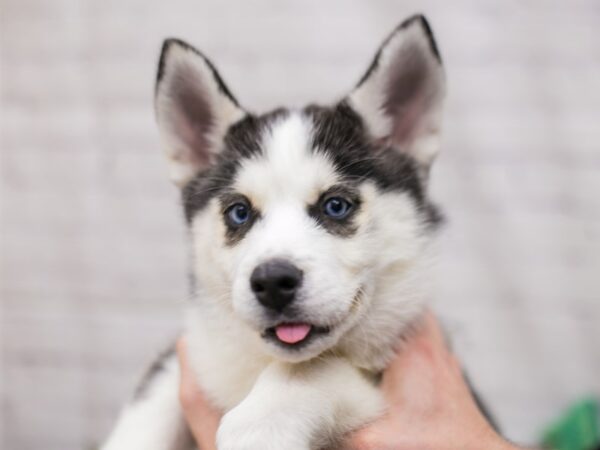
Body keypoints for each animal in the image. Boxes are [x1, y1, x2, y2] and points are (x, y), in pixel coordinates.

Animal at [103, 14, 448, 450]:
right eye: (239, 213)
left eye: (336, 205)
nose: (272, 282)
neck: (261, 362)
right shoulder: (195, 355)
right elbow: (153, 394)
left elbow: (310, 370)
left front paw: (258, 427)